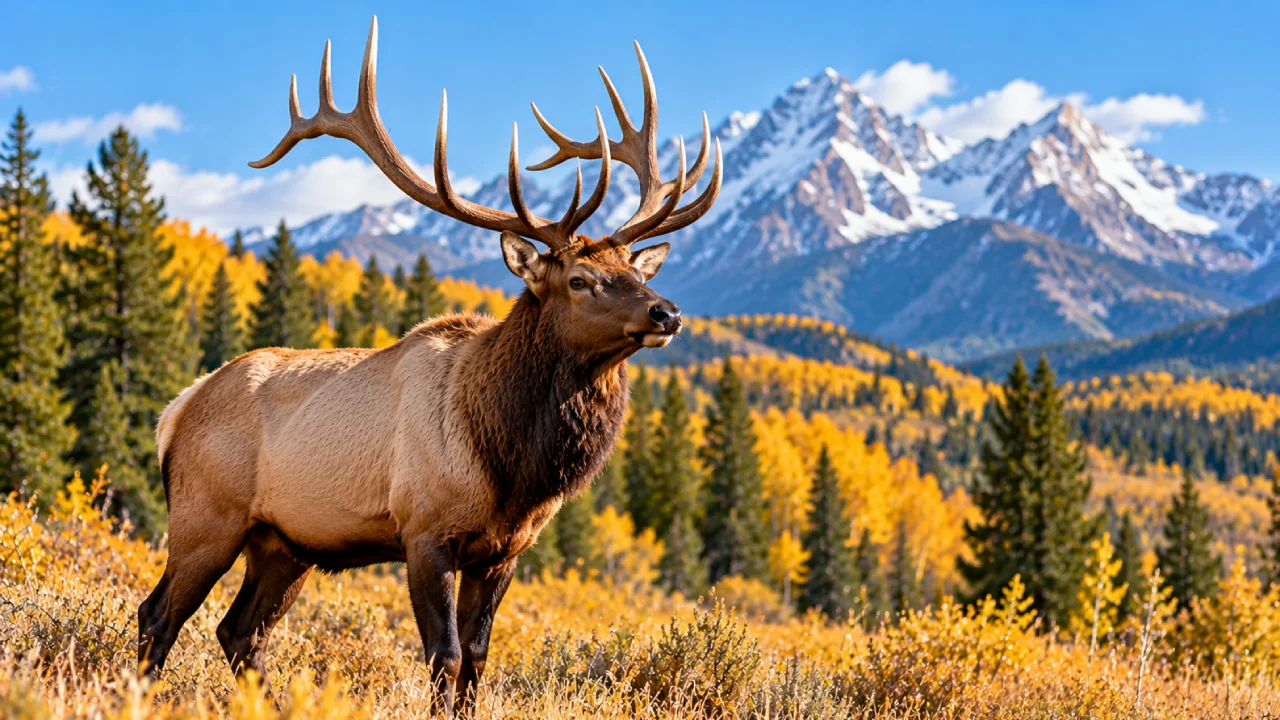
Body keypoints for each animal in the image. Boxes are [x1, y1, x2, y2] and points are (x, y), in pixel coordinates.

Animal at [136, 15, 721, 716]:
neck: (513, 465)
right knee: (159, 614)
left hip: (283, 542)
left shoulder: (503, 551)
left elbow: (477, 660)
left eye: (636, 271)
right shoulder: (424, 530)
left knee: (240, 632)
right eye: (580, 280)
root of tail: (177, 410)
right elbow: (444, 657)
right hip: (206, 515)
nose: (667, 313)